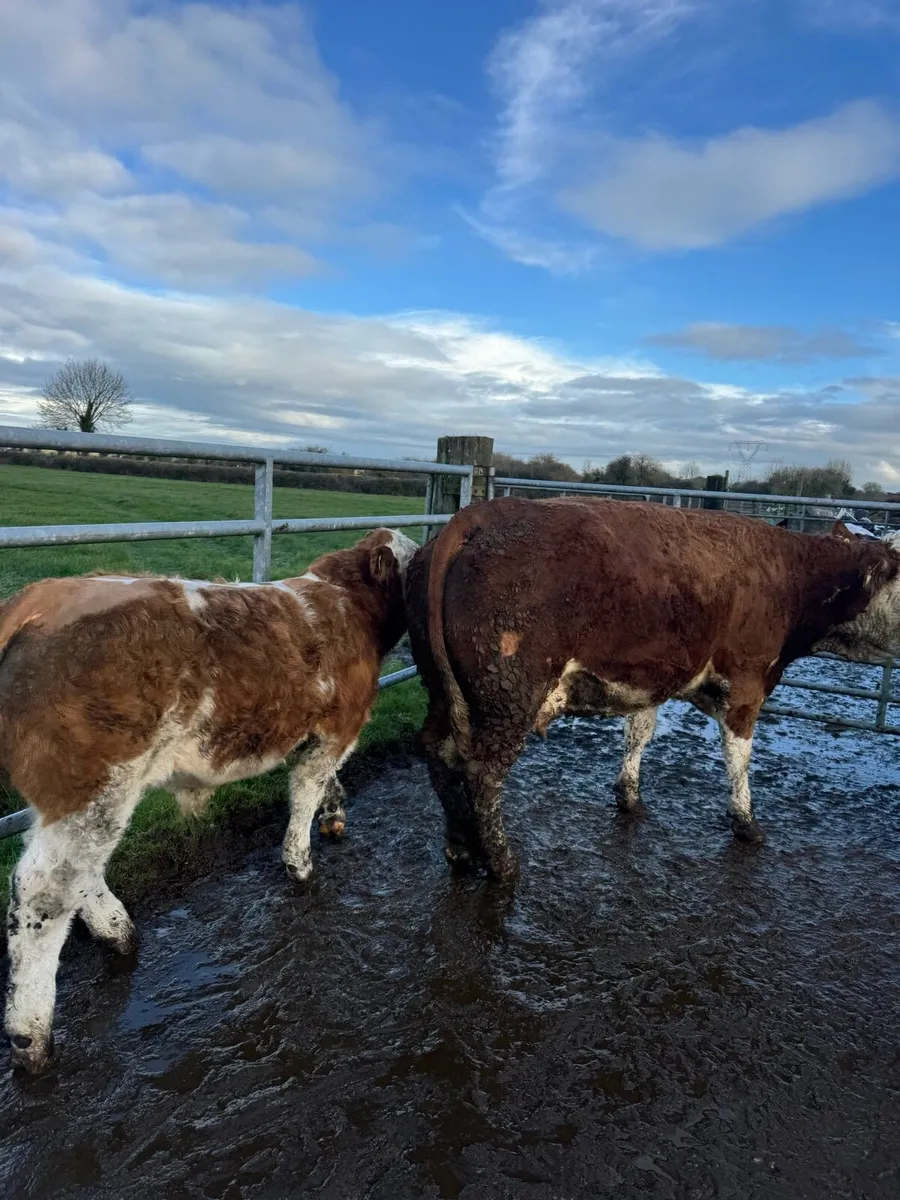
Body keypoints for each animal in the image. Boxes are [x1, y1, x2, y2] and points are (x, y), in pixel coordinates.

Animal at [0, 528, 417, 1073]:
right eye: (417, 563)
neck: (346, 603)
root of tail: (39, 599)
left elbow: (328, 785)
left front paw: (334, 817)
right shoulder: (334, 732)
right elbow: (305, 791)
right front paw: (301, 864)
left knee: (77, 873)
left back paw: (118, 932)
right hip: (92, 787)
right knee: (44, 893)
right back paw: (31, 1036)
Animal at [405, 497, 900, 883]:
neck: (792, 577)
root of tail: (485, 512)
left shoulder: (651, 677)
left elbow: (639, 733)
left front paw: (629, 795)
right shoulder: (747, 681)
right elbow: (738, 757)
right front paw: (746, 821)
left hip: (444, 688)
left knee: (438, 750)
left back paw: (460, 846)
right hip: (509, 694)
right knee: (482, 771)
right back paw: (502, 864)